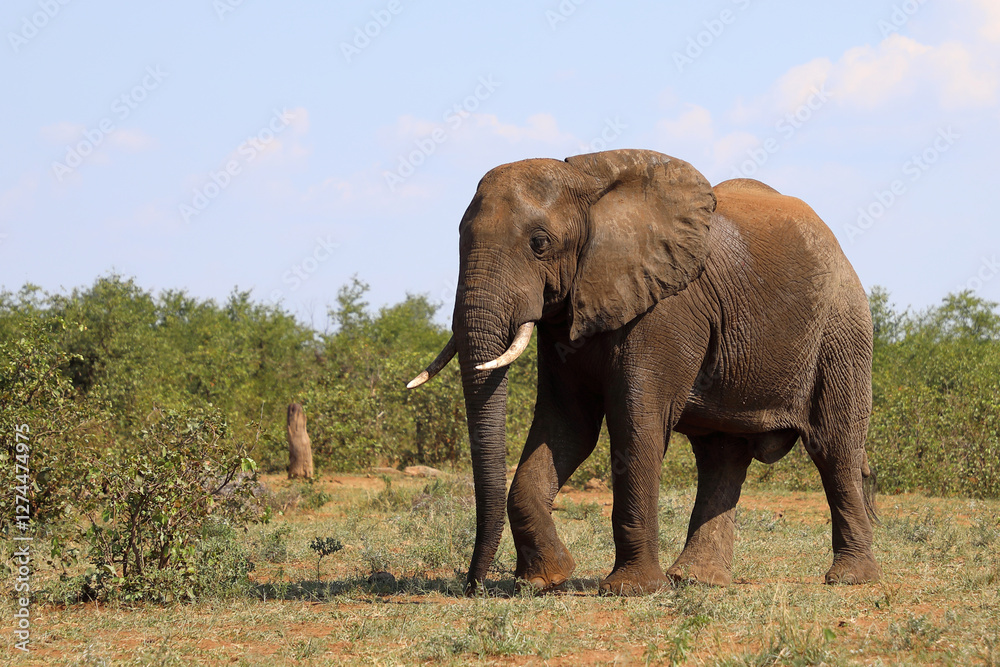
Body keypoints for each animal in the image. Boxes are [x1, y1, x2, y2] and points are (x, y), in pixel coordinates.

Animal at [407, 149, 878, 595]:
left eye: (539, 243)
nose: (473, 586)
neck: (590, 185)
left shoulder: (665, 308)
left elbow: (637, 424)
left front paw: (630, 590)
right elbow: (568, 426)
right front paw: (543, 580)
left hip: (841, 331)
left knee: (834, 448)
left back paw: (849, 579)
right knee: (722, 455)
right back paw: (696, 580)